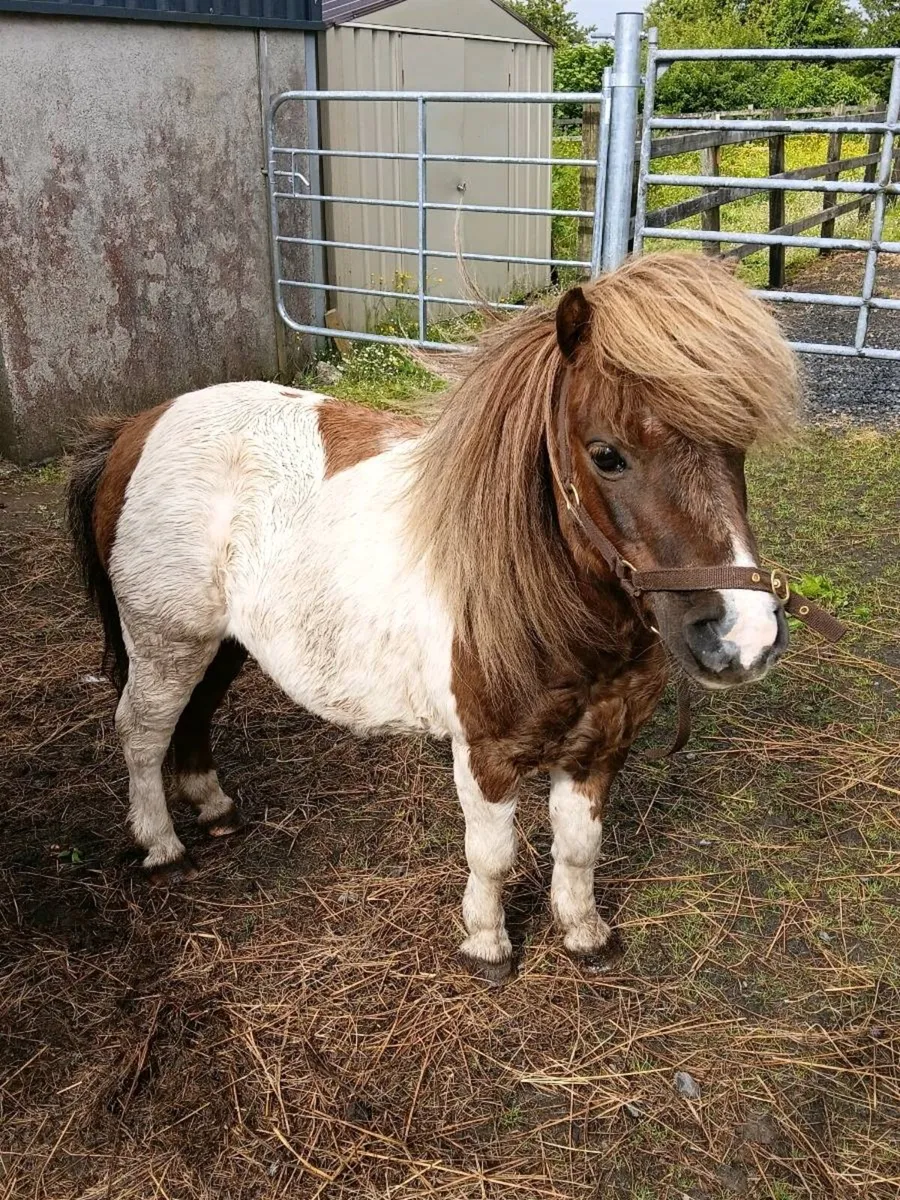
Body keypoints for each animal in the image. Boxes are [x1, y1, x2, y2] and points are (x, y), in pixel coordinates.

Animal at [69, 253, 803, 982]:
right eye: (607, 454)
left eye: (737, 447)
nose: (744, 636)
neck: (543, 609)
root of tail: (137, 428)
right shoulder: (486, 754)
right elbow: (493, 856)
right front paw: (486, 946)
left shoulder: (600, 749)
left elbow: (579, 848)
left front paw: (585, 933)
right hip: (166, 642)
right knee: (142, 732)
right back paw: (163, 847)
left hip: (222, 646)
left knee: (194, 716)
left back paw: (216, 810)